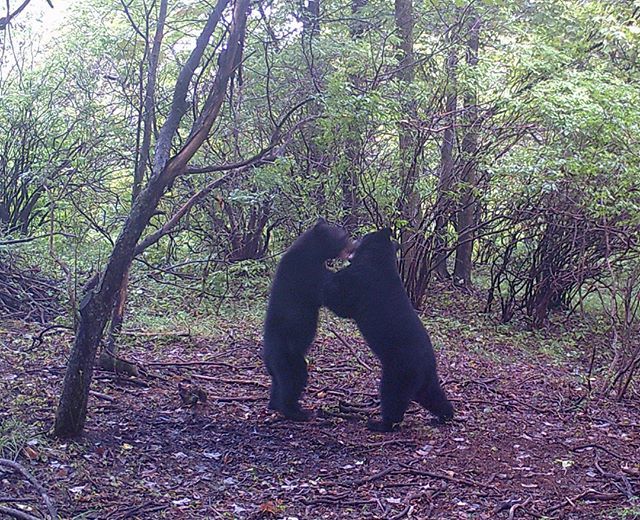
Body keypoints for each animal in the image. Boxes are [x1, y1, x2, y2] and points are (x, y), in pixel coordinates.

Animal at [263, 218, 352, 421]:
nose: (353, 243)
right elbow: (333, 296)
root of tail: (267, 357)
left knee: (280, 383)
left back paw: (275, 405)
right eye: (343, 235)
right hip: (287, 357)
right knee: (292, 381)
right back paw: (296, 411)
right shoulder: (308, 274)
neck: (312, 252)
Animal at [323, 228, 454, 432]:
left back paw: (380, 423)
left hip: (399, 371)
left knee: (393, 396)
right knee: (432, 395)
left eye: (364, 236)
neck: (378, 258)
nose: (353, 238)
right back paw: (445, 416)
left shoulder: (360, 281)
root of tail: (428, 364)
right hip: (424, 381)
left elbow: (340, 300)